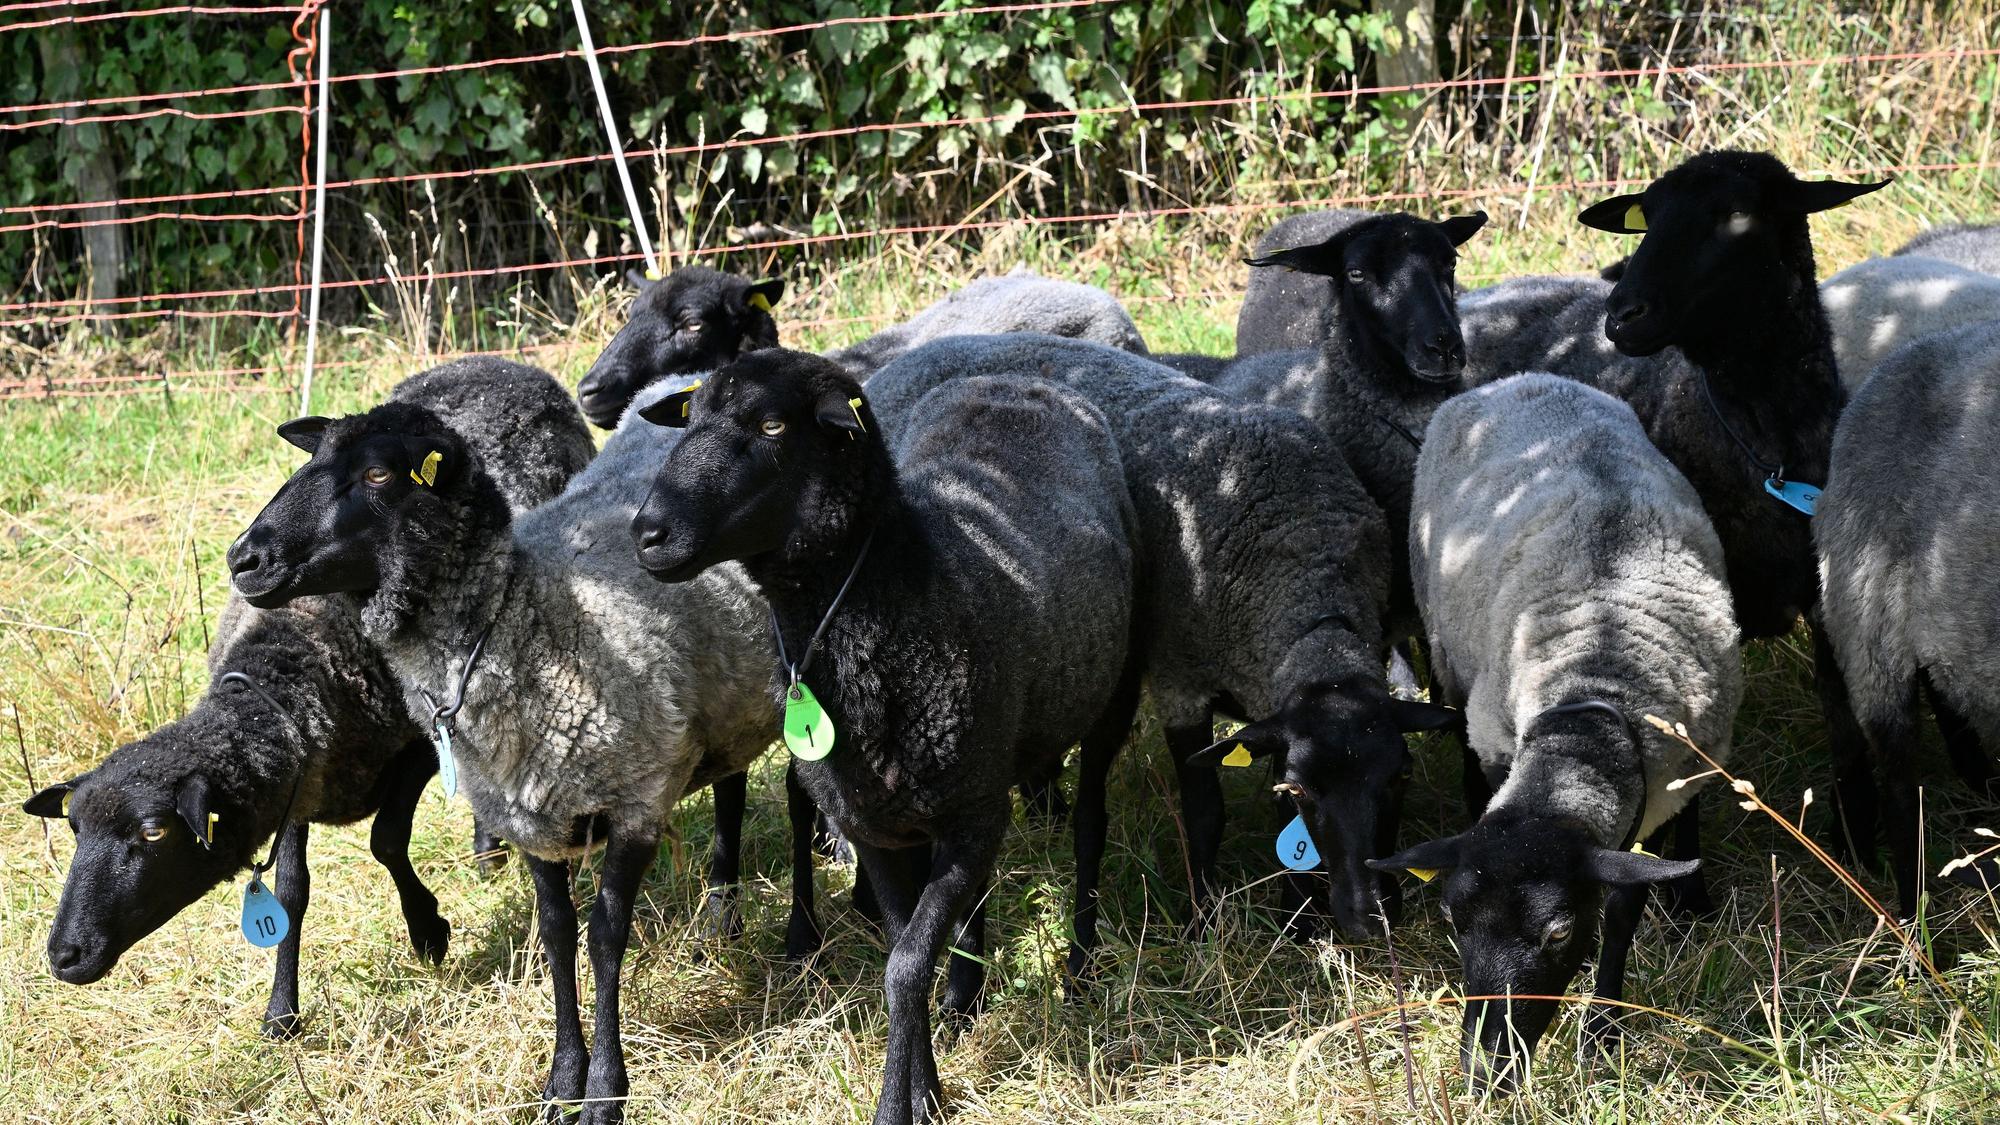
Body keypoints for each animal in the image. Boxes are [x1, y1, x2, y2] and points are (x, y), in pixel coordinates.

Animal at [23, 358, 596, 1038]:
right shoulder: (301, 772)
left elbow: (386, 841)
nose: (65, 956)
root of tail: (497, 362)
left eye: (154, 832)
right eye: (73, 828)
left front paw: (429, 930)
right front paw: (281, 1011)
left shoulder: (417, 751)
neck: (296, 657)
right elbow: (292, 888)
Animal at [226, 373, 777, 1123]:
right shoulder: (531, 814)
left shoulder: (636, 799)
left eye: (377, 473)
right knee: (731, 778)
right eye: (314, 459)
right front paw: (562, 1080)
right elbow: (557, 935)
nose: (244, 558)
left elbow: (606, 938)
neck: (534, 619)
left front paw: (605, 1089)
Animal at [630, 349, 1141, 1125]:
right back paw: (966, 997)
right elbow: (906, 950)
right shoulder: (874, 825)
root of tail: (1016, 375)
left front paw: (900, 1102)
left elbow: (905, 967)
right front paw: (925, 1083)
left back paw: (1081, 964)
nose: (649, 533)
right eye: (690, 418)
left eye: (773, 425)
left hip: (1109, 697)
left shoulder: (970, 816)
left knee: (1089, 824)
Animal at [861, 335, 1457, 944]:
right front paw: (1204, 921)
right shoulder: (1181, 681)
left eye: (1402, 776)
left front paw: (1297, 921)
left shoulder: (1274, 705)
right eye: (1305, 791)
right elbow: (1205, 813)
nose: (1372, 916)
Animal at [1376, 372, 1741, 1091]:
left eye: (1559, 933)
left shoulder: (1657, 790)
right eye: (1452, 922)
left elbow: (1626, 910)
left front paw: (1603, 1028)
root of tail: (1516, 380)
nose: (1483, 1071)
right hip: (1451, 654)